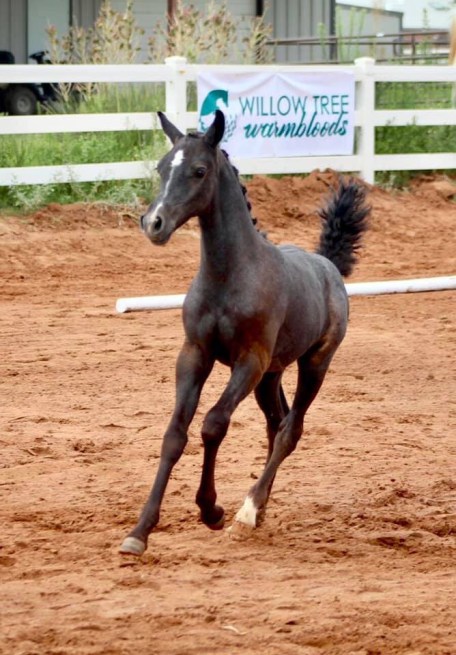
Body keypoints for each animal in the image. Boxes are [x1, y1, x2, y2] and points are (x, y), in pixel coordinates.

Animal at [119, 109, 369, 556]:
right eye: (162, 167)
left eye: (199, 170)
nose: (154, 223)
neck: (229, 276)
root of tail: (328, 267)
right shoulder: (194, 354)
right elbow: (174, 435)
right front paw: (140, 531)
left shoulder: (249, 361)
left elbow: (213, 424)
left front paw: (212, 510)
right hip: (271, 376)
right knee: (277, 423)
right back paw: (262, 507)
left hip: (314, 364)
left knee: (290, 430)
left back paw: (249, 511)